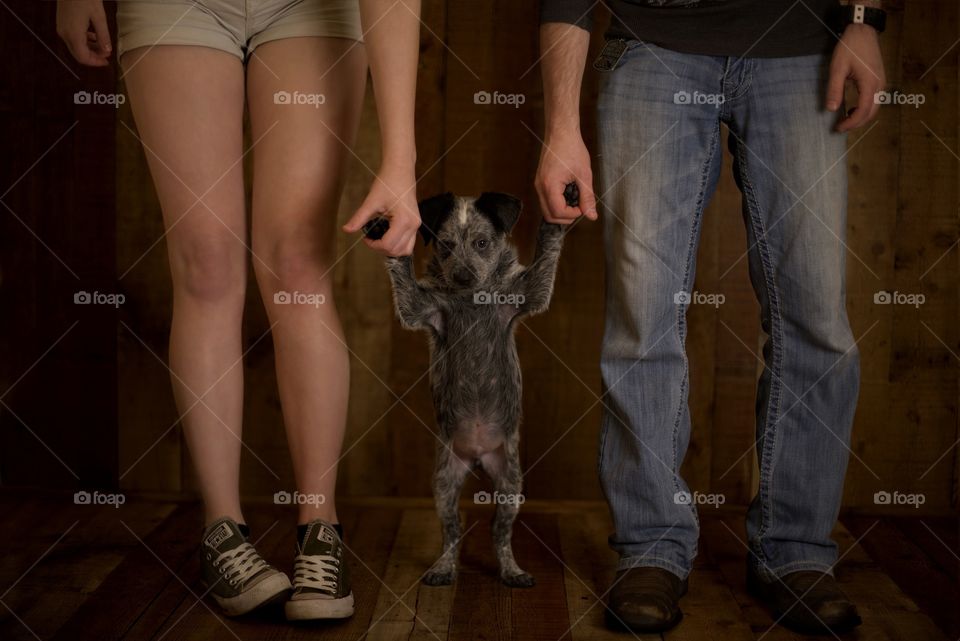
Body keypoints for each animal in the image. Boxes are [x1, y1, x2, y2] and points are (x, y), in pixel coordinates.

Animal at [386, 192, 568, 588]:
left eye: (482, 243)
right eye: (446, 245)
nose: (463, 275)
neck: (472, 298)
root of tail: (479, 455)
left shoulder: (525, 296)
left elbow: (545, 257)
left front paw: (555, 219)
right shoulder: (422, 309)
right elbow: (404, 282)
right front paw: (390, 236)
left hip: (511, 482)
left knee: (499, 533)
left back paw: (512, 570)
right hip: (445, 479)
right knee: (452, 532)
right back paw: (444, 567)